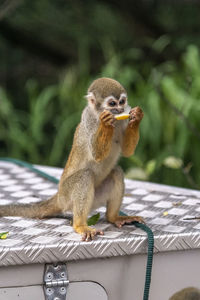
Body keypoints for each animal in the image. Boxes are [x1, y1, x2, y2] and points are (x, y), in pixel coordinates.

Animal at [0, 78, 144, 241]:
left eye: (122, 101)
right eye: (113, 103)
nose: (120, 109)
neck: (98, 113)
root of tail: (59, 196)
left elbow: (127, 151)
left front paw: (137, 117)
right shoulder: (89, 120)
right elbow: (96, 154)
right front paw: (106, 122)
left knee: (116, 172)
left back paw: (113, 217)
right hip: (67, 196)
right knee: (85, 176)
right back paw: (80, 225)